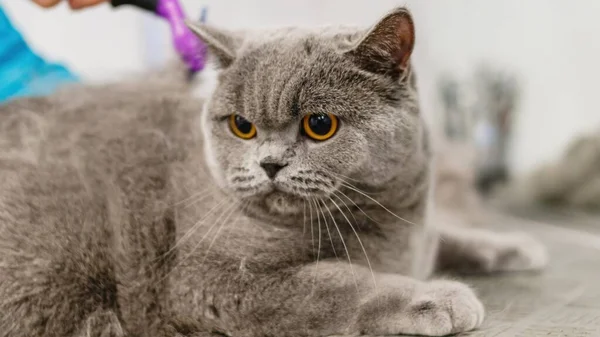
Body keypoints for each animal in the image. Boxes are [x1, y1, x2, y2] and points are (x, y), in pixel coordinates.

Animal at [0, 7, 548, 336]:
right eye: (242, 126)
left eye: (320, 125)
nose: (268, 163)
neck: (387, 220)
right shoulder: (211, 276)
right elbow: (340, 282)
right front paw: (437, 297)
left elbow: (446, 232)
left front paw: (511, 245)